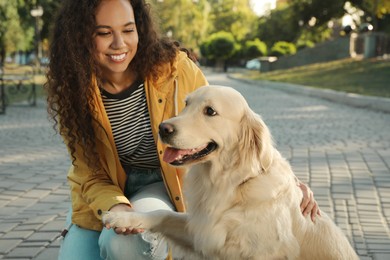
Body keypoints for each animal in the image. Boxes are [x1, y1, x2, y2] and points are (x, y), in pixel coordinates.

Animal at [103, 86, 360, 260]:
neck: (232, 184)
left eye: (210, 111)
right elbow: (162, 214)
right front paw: (123, 218)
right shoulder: (204, 230)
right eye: (186, 103)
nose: (163, 128)